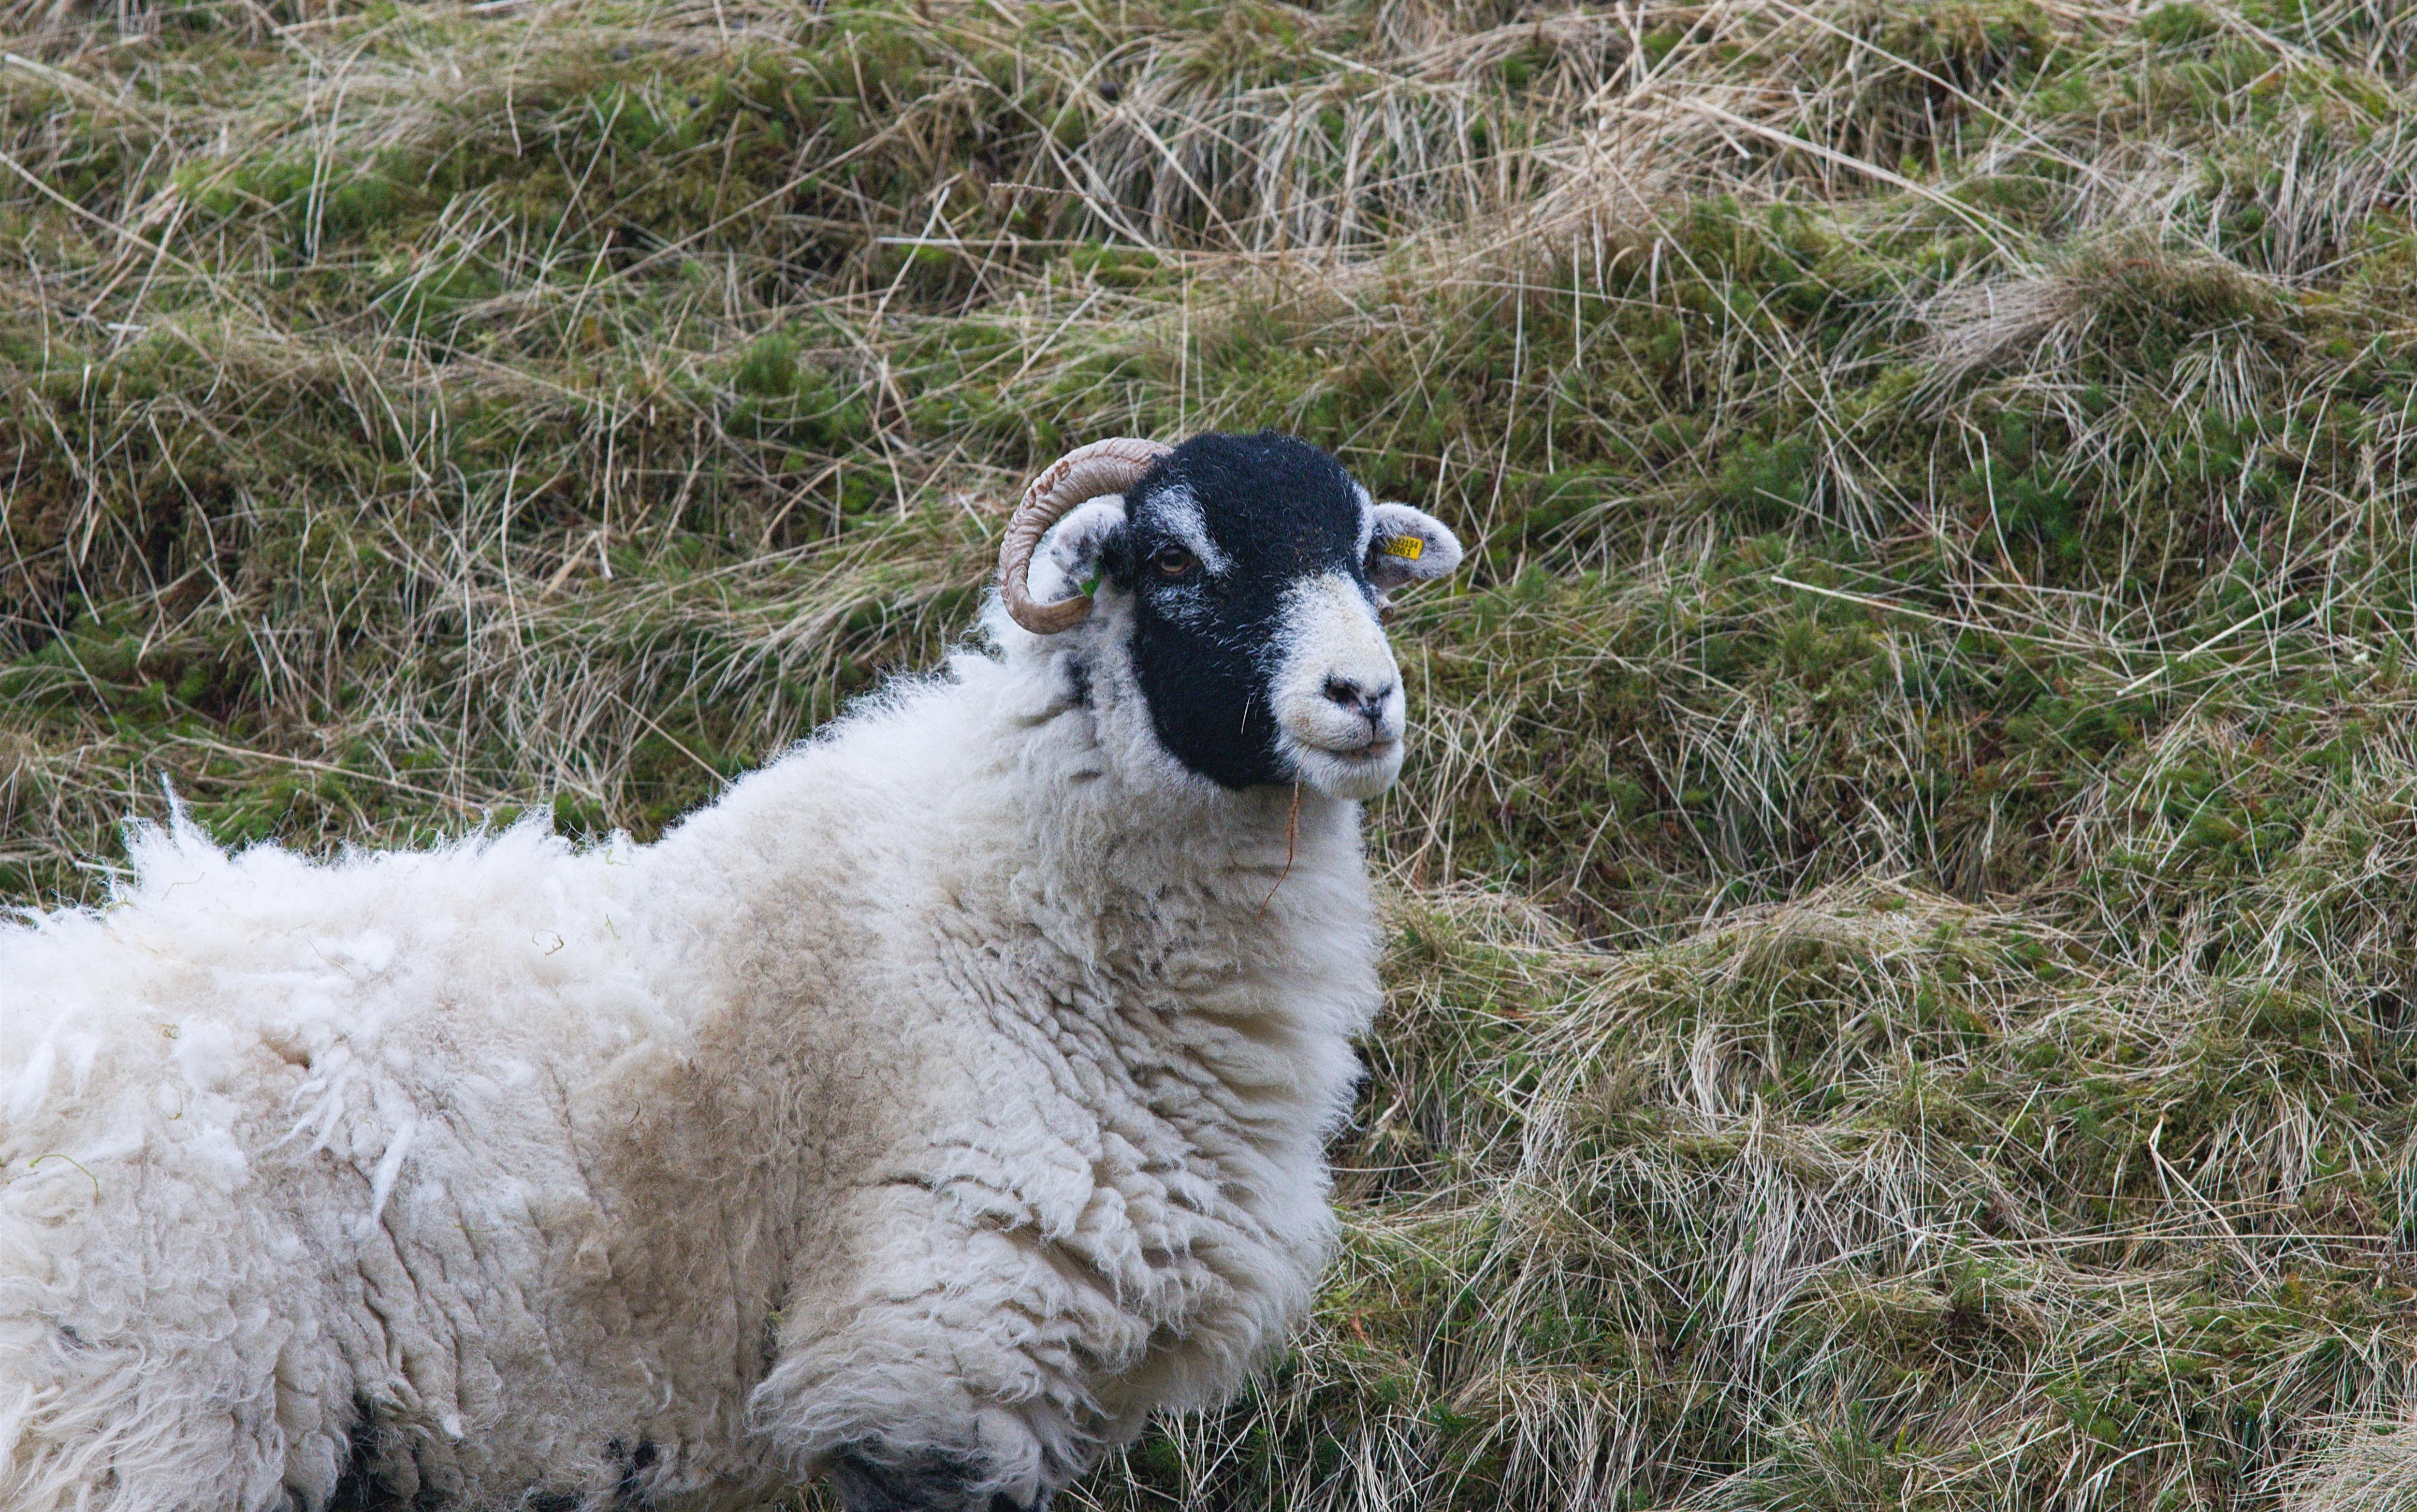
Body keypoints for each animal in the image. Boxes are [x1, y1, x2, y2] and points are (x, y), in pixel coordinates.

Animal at [0, 427, 1460, 1507]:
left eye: (1365, 559)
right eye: (1170, 556)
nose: (1365, 700)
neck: (1018, 905)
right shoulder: (929, 1358)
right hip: (145, 1427)